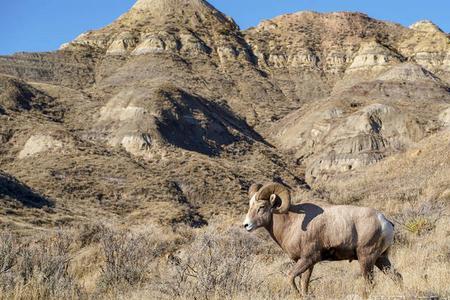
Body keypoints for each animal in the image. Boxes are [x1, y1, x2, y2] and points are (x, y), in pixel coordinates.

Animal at [244, 182, 402, 296]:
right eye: (250, 205)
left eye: (262, 207)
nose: (246, 225)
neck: (291, 223)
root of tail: (384, 222)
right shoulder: (307, 264)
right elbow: (304, 285)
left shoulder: (308, 259)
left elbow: (290, 277)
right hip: (381, 259)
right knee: (397, 277)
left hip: (366, 259)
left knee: (370, 284)